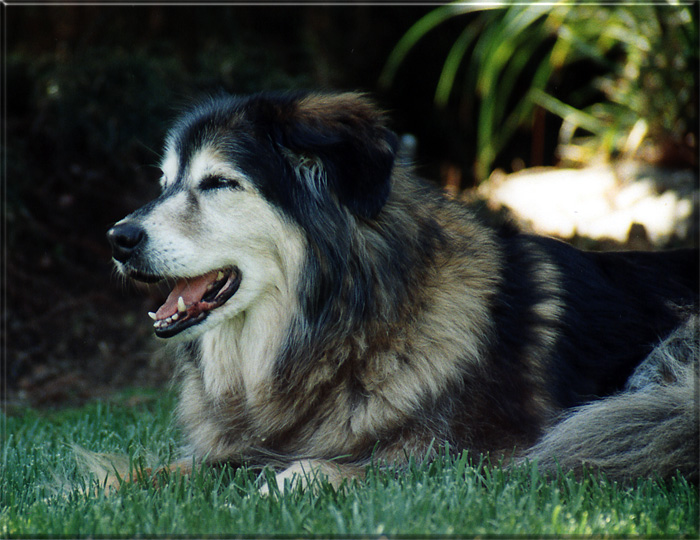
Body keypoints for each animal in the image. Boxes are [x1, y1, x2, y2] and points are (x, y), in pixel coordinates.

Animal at [107, 91, 699, 489]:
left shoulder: (470, 454)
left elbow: (306, 472)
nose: (118, 238)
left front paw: (275, 486)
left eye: (219, 183)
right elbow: (132, 471)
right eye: (164, 184)